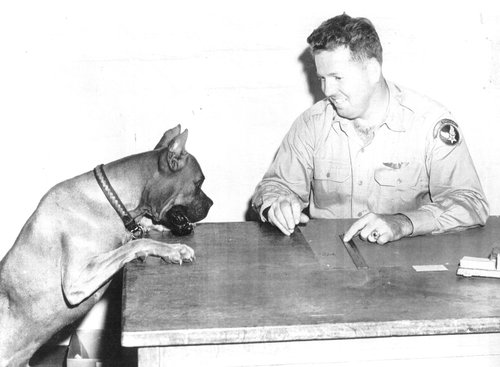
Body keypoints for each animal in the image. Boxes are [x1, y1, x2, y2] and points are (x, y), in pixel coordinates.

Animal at [0, 125, 213, 366]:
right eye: (199, 182)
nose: (212, 204)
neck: (110, 200)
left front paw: (159, 231)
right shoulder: (77, 281)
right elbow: (135, 243)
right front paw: (173, 249)